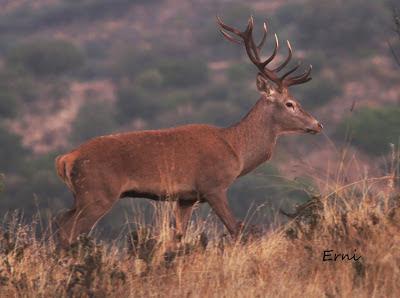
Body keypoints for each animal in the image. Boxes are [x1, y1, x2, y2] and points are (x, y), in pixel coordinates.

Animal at [54, 15, 322, 246]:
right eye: (290, 104)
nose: (318, 124)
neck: (236, 150)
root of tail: (67, 159)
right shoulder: (213, 185)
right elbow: (236, 229)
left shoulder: (186, 198)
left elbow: (178, 237)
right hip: (97, 193)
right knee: (68, 230)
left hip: (82, 196)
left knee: (60, 220)